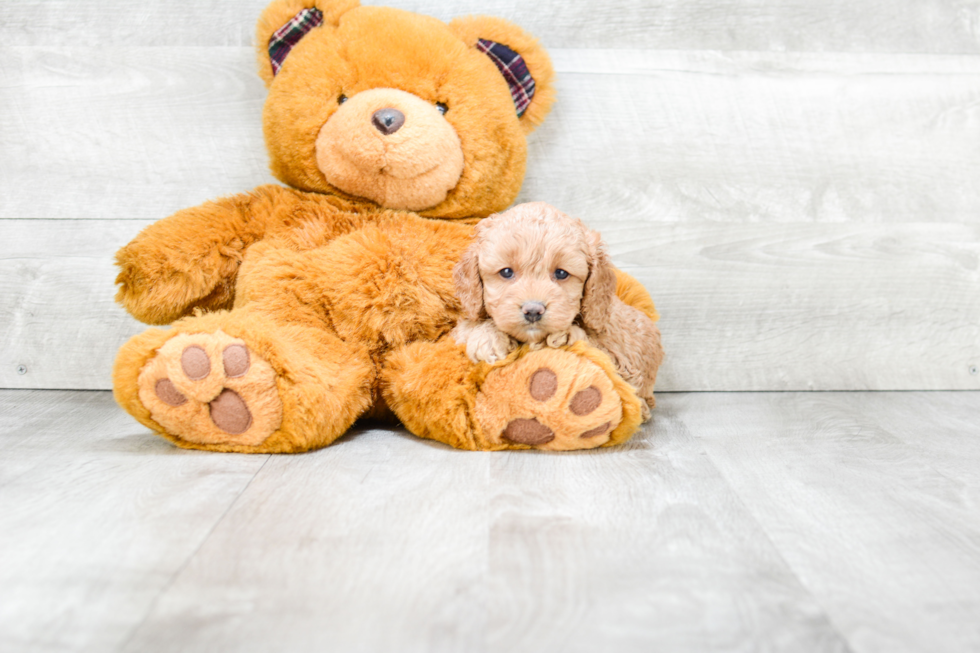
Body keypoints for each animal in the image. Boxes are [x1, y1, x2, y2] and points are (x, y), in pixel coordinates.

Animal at [454, 201, 668, 420]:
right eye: (506, 272)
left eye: (561, 273)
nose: (533, 310)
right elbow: (468, 327)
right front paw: (487, 338)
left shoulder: (619, 359)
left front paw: (566, 335)